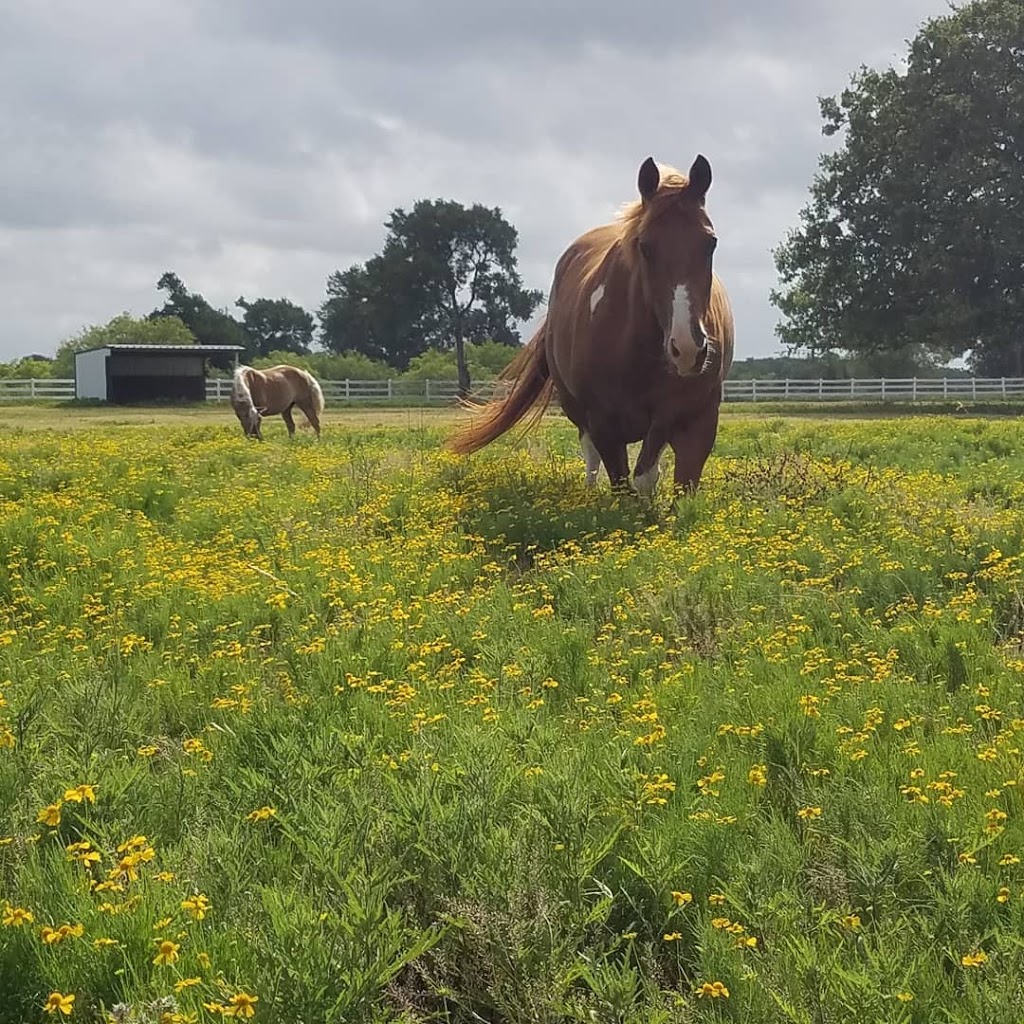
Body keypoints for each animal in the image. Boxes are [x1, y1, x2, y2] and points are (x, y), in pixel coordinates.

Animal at [446, 152, 729, 499]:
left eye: (710, 243)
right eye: (645, 246)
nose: (687, 348)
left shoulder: (694, 419)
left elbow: (663, 481)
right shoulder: (603, 423)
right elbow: (623, 483)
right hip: (579, 412)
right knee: (591, 457)